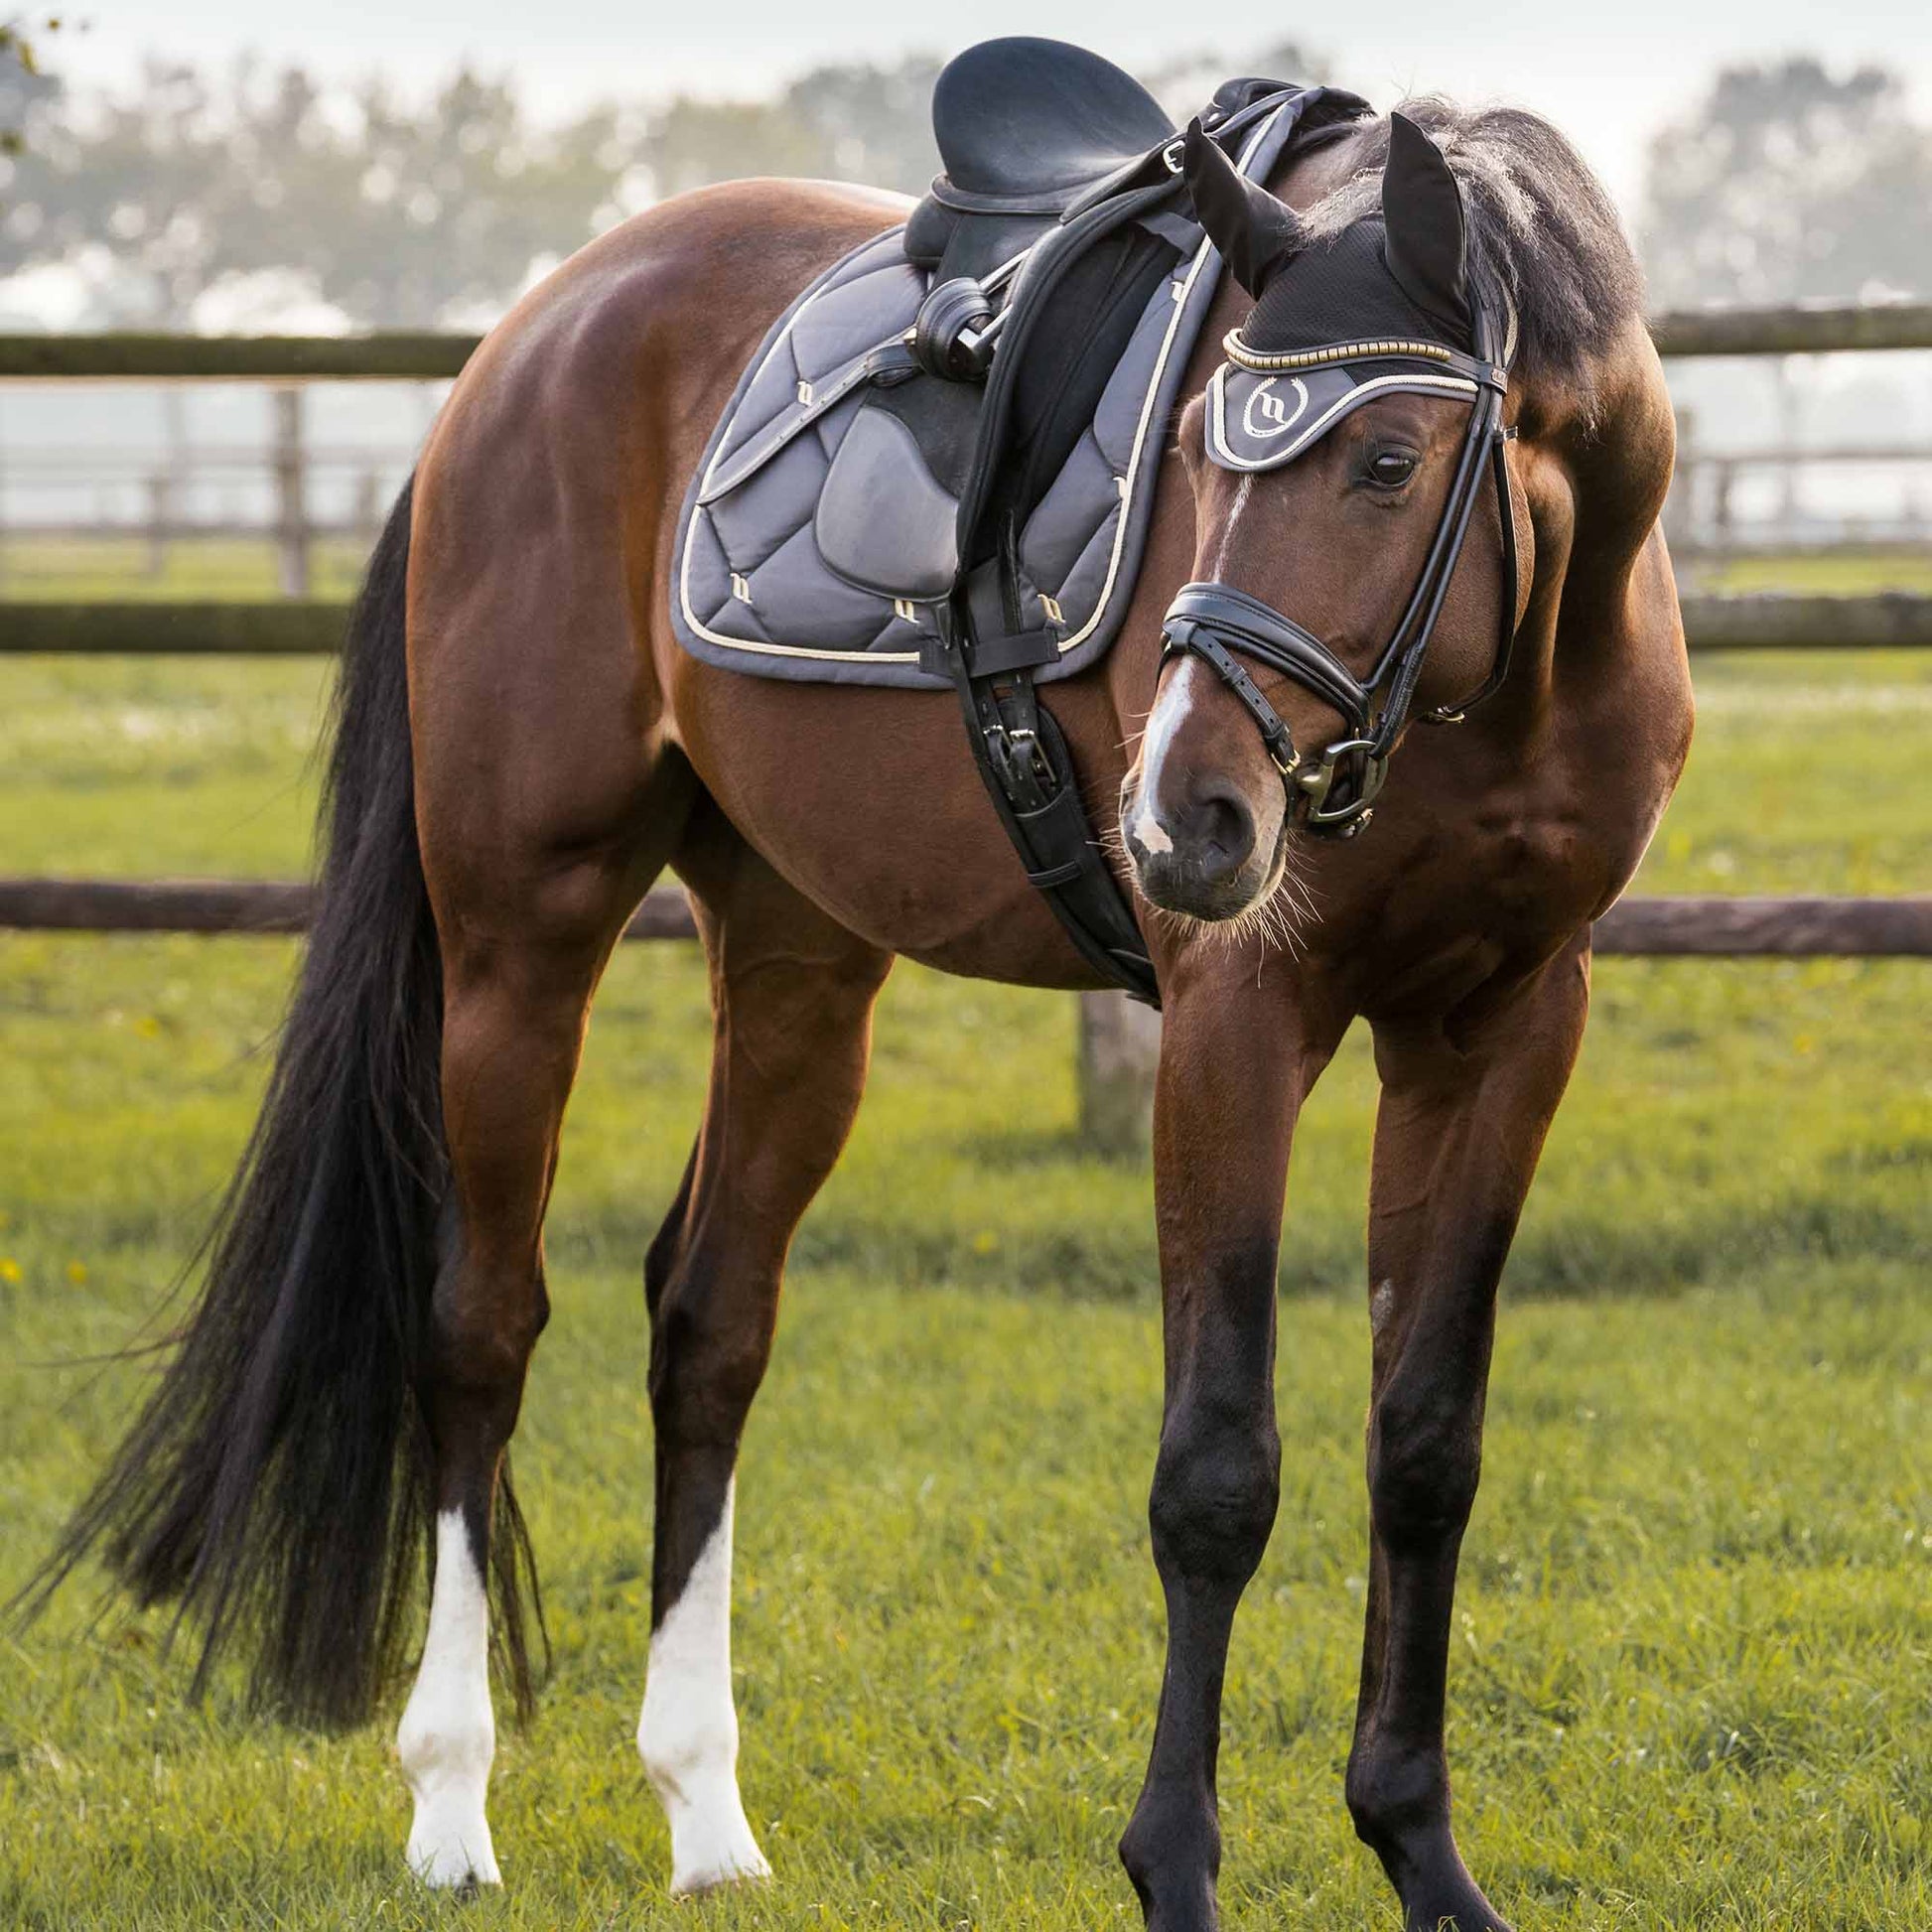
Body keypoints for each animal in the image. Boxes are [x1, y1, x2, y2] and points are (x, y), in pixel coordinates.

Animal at [31, 82, 1690, 1932]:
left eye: (1388, 461)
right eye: (1196, 449)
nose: (1183, 817)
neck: (1512, 669)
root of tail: (522, 343)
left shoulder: (1506, 1026)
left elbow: (1424, 1448)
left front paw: (1419, 1854)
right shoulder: (1238, 1018)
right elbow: (1217, 1468)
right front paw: (1175, 1866)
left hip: (797, 960)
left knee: (709, 1326)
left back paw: (705, 1816)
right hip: (521, 941)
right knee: (479, 1326)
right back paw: (451, 1809)